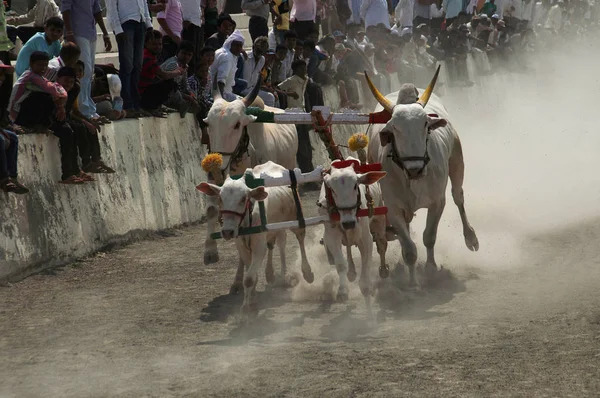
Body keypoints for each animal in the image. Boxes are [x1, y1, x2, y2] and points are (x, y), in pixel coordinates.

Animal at [197, 160, 314, 318]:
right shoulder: (242, 245)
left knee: (298, 240)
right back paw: (272, 274)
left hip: (295, 218)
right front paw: (252, 301)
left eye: (243, 198)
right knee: (277, 243)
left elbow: (249, 279)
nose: (227, 231)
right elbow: (251, 275)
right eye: (220, 198)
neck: (248, 218)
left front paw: (247, 309)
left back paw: (303, 273)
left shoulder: (258, 246)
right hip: (274, 228)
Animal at [316, 159, 386, 314]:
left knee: (382, 245)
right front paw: (342, 291)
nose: (348, 223)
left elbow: (365, 282)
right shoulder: (331, 236)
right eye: (332, 189)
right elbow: (341, 264)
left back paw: (384, 269)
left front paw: (370, 314)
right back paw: (352, 272)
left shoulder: (366, 239)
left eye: (355, 185)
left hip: (380, 221)